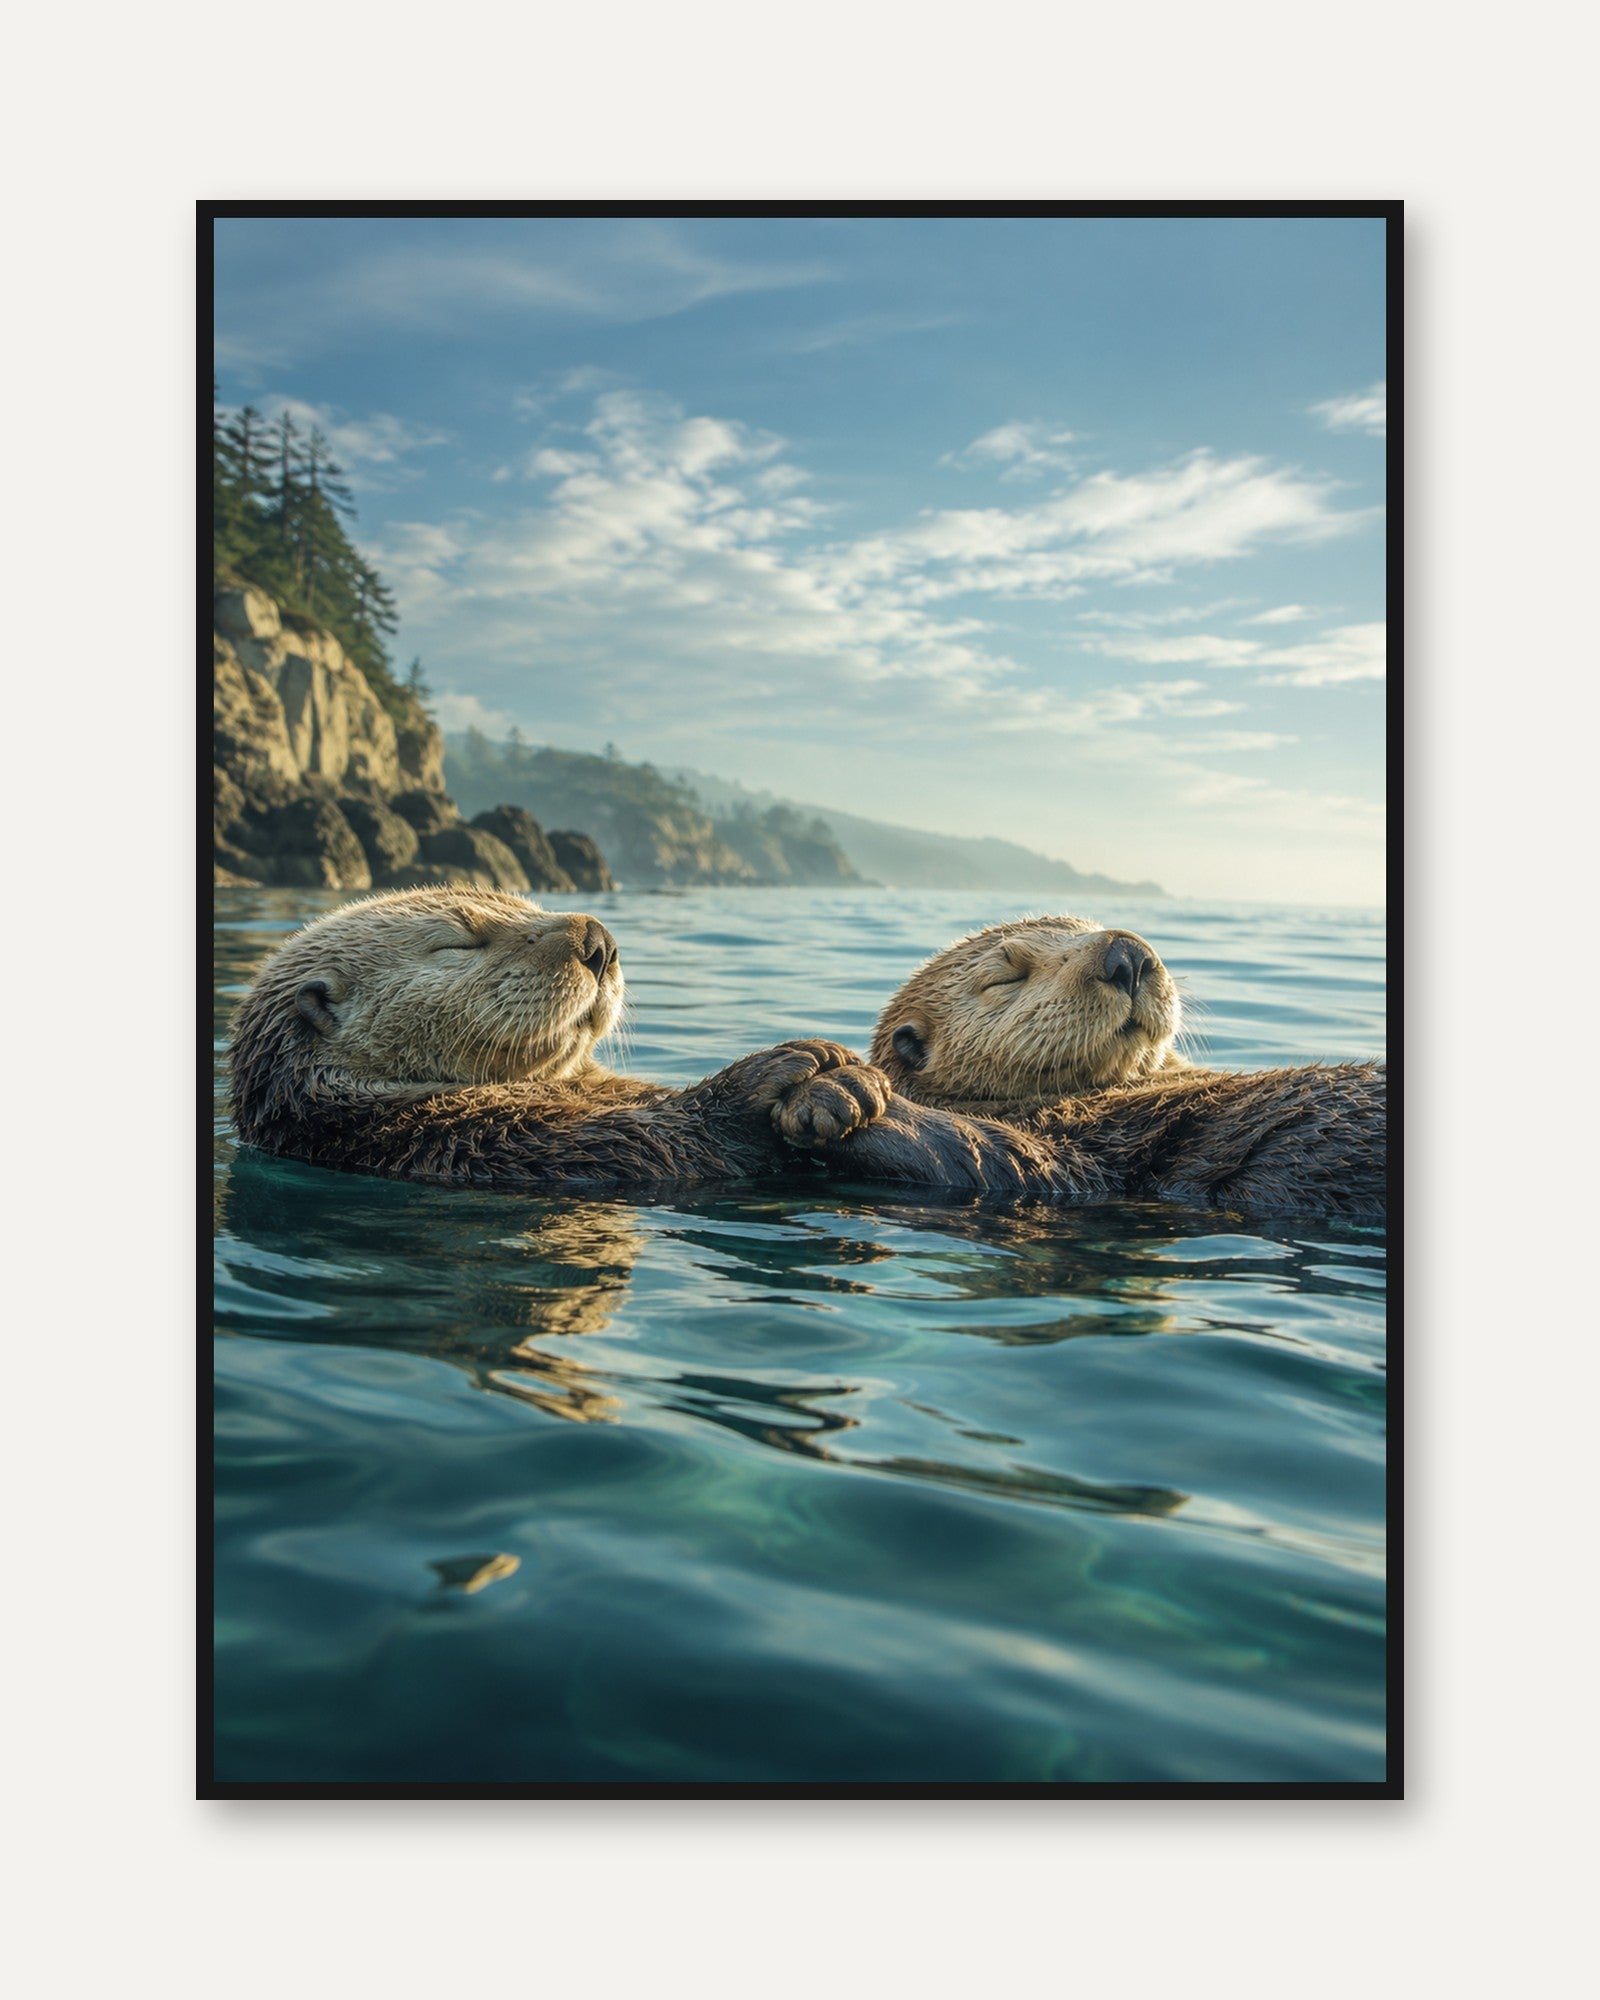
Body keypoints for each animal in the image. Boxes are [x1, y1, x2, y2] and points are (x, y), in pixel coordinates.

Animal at [227, 886, 890, 1189]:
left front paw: (842, 1074)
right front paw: (800, 1074)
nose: (599, 940)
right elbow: (650, 1144)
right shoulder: (471, 1138)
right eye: (457, 943)